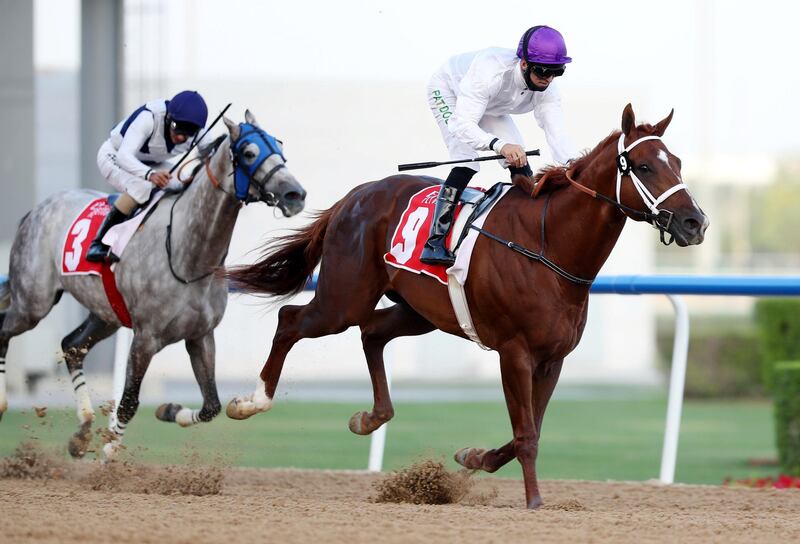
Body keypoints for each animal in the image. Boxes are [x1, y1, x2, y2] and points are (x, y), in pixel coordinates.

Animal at [0, 110, 304, 460]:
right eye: (249, 152)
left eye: (279, 144)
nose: (296, 194)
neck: (189, 255)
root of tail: (37, 209)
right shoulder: (145, 338)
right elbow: (128, 403)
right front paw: (108, 457)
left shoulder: (200, 335)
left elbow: (211, 405)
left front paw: (169, 410)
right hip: (33, 302)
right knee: (5, 331)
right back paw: (5, 403)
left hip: (106, 314)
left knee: (72, 346)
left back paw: (83, 431)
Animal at [225, 104, 708, 508]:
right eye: (643, 166)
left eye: (678, 163)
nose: (695, 222)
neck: (549, 245)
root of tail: (355, 195)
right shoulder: (514, 352)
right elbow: (527, 433)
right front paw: (535, 502)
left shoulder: (552, 359)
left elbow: (529, 429)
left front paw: (474, 456)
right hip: (343, 300)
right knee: (292, 320)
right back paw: (251, 402)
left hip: (418, 311)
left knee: (372, 333)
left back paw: (371, 417)